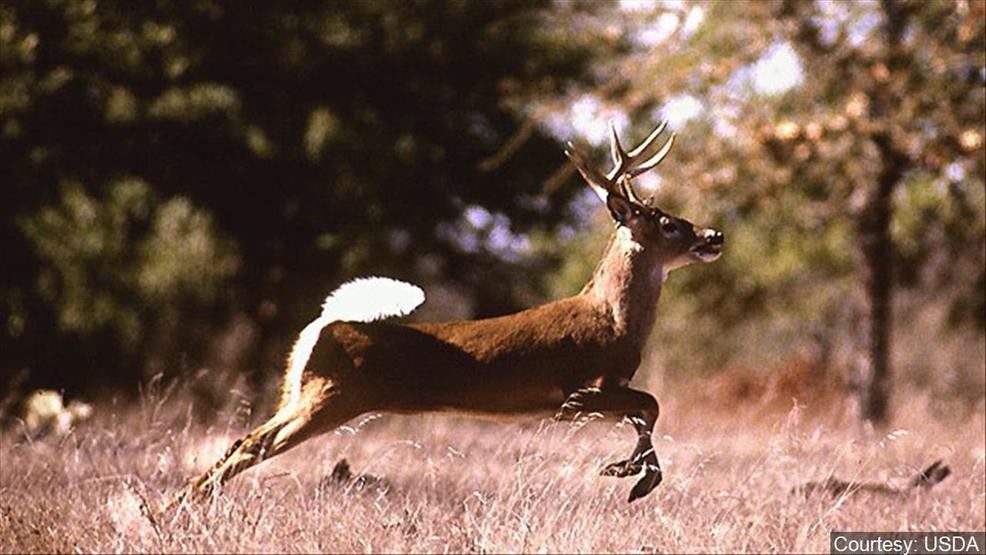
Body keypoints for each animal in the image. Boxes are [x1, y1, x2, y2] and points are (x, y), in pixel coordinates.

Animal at [166, 121, 724, 511]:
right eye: (668, 224)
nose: (714, 235)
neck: (613, 320)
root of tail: (323, 326)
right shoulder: (585, 388)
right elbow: (650, 404)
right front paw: (635, 477)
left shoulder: (604, 391)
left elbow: (646, 412)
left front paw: (628, 470)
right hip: (329, 398)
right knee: (252, 444)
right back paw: (178, 509)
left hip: (300, 394)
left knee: (242, 439)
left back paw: (175, 507)